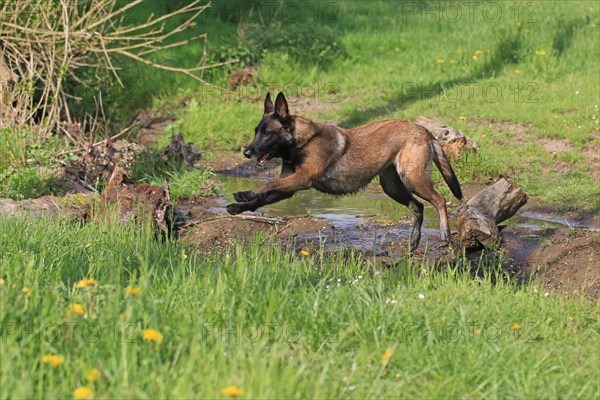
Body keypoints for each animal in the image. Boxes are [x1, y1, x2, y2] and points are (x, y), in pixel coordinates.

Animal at [226, 93, 464, 250]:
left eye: (267, 133)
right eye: (256, 131)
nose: (247, 152)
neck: (304, 141)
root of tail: (423, 129)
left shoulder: (302, 178)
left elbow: (267, 185)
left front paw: (244, 194)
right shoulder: (290, 185)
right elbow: (263, 197)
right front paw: (239, 206)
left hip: (413, 179)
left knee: (440, 200)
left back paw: (445, 235)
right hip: (392, 187)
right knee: (418, 206)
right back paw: (414, 240)